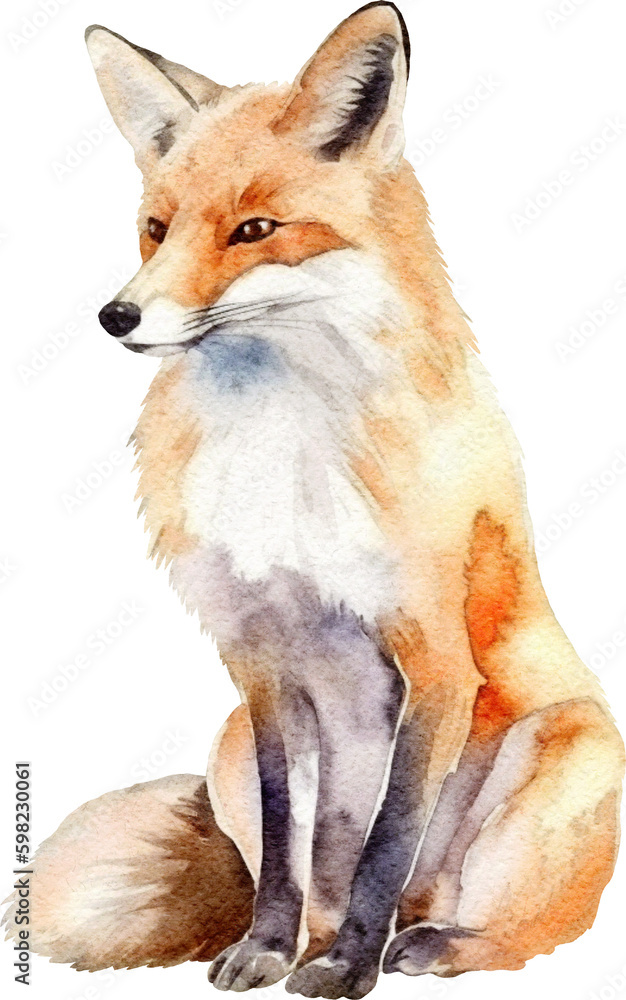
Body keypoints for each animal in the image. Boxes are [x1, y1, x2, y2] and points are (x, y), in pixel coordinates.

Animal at [4, 4, 624, 999]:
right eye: (156, 229)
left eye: (255, 228)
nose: (116, 317)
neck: (281, 455)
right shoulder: (257, 660)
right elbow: (291, 836)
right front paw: (267, 948)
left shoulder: (434, 658)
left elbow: (386, 841)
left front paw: (346, 969)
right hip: (223, 741)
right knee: (314, 870)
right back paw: (320, 938)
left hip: (558, 765)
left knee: (514, 927)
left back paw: (426, 946)